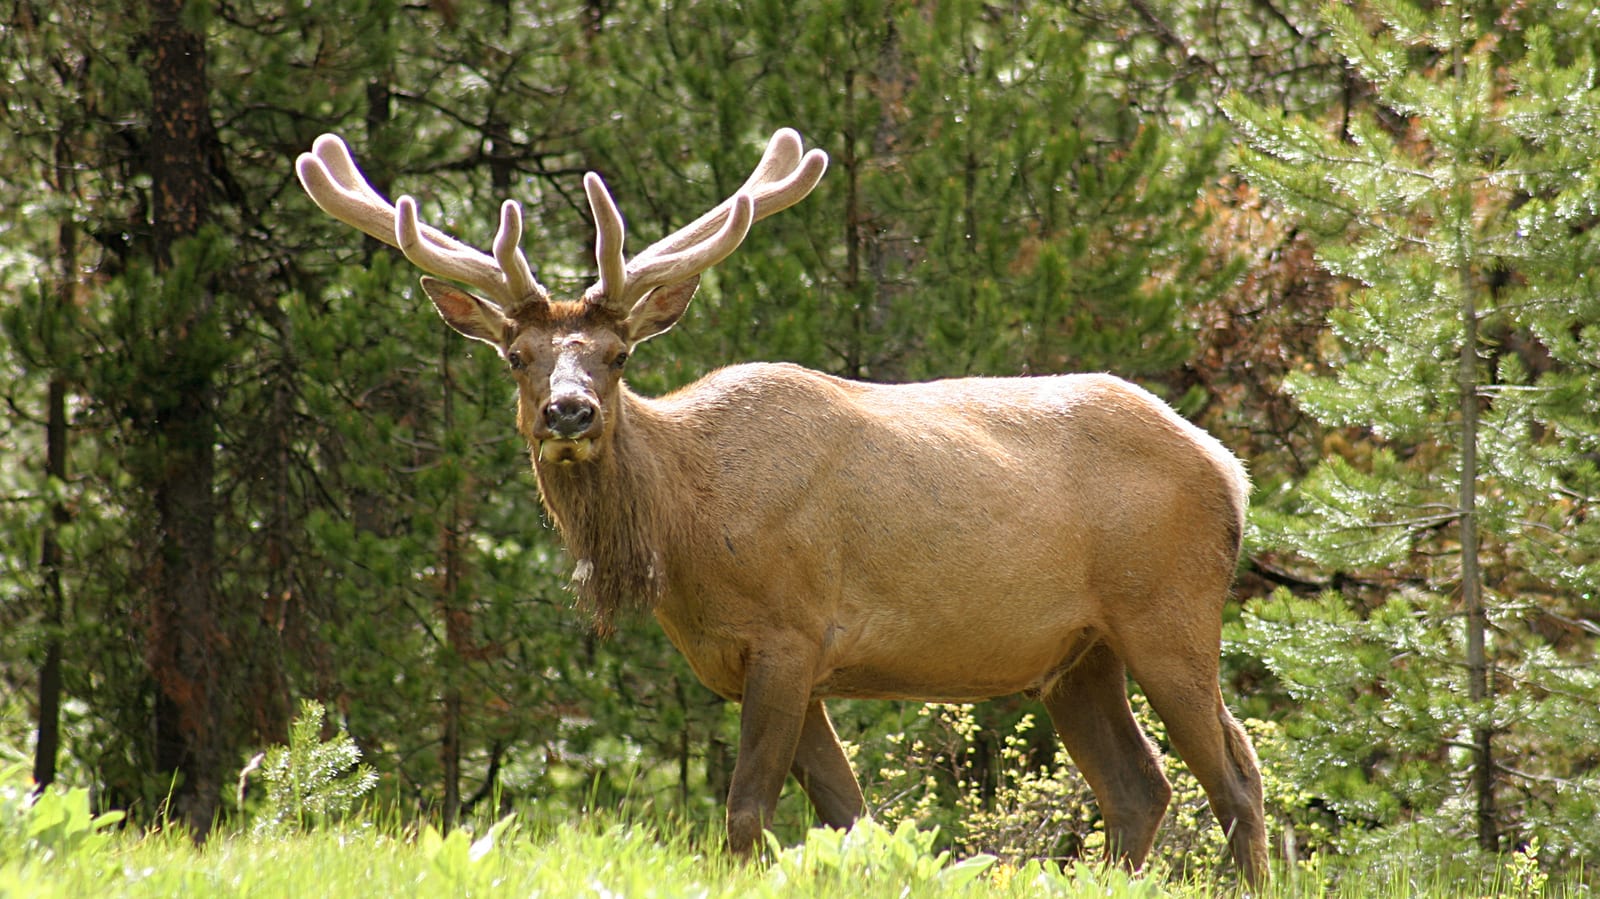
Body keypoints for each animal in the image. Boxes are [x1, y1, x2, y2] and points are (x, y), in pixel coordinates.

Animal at [296, 127, 1270, 886]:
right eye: (516, 355)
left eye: (616, 354)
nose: (568, 412)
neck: (686, 528)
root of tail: (1231, 471)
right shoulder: (751, 659)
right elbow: (850, 816)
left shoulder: (792, 633)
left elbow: (745, 811)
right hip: (1077, 655)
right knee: (1141, 785)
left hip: (1169, 610)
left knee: (1235, 772)